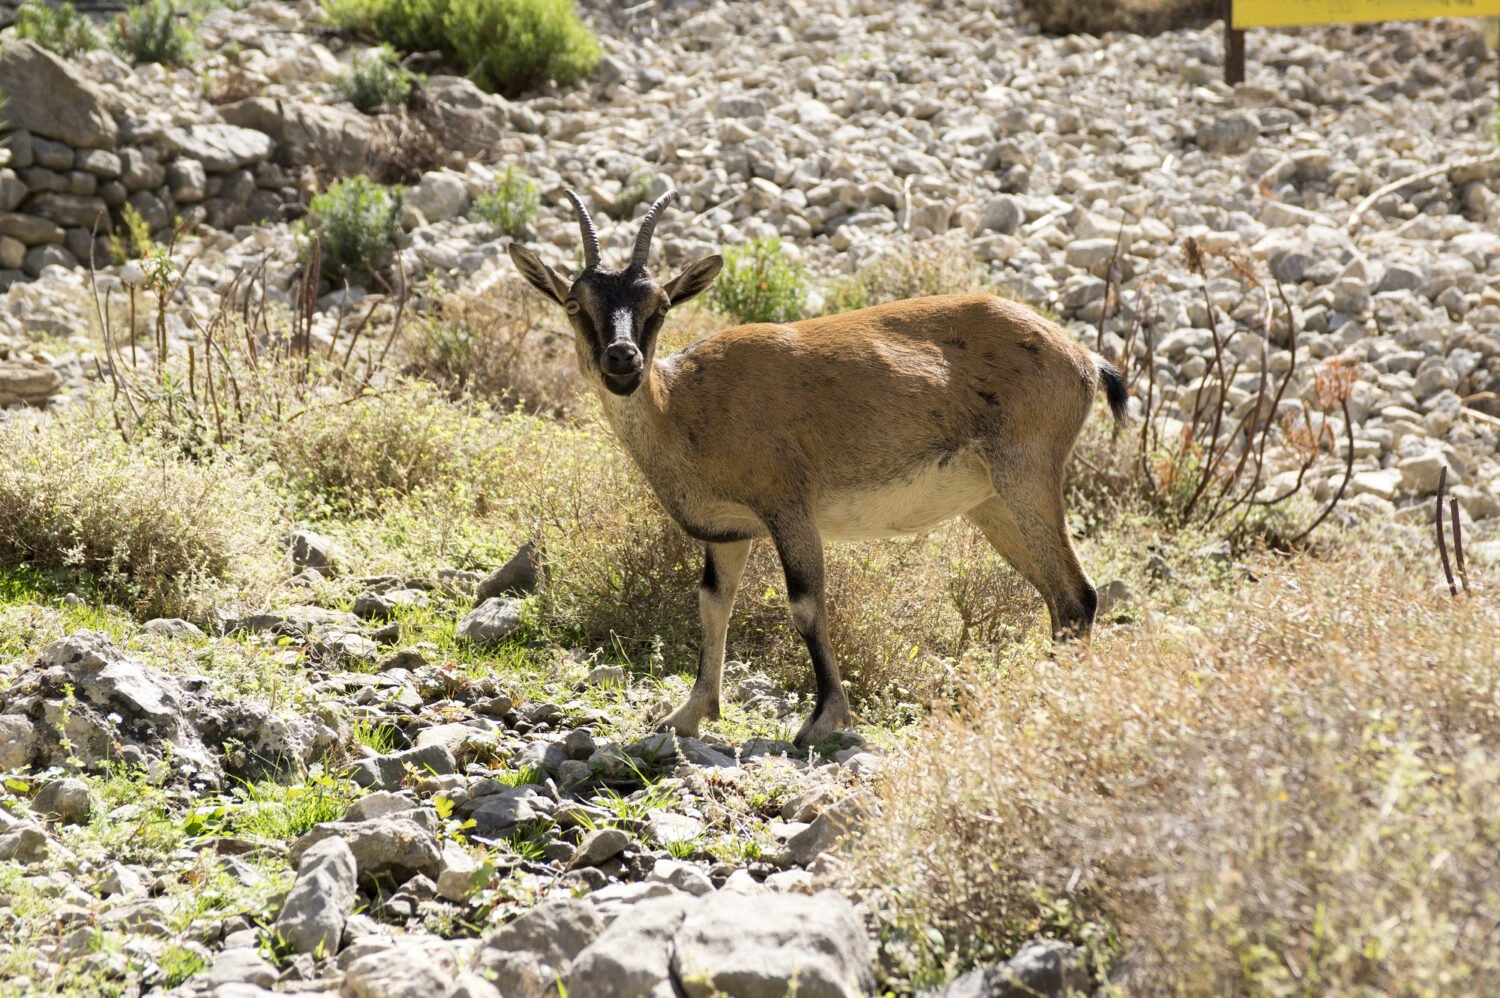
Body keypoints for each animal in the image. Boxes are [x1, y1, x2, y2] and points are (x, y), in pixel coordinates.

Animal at [510, 190, 1122, 744]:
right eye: (574, 304)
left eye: (659, 307)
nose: (623, 359)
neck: (687, 404)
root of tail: (1084, 360)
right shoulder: (728, 530)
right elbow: (712, 603)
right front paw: (687, 714)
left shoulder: (789, 509)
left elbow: (805, 605)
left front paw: (824, 720)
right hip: (993, 503)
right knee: (1059, 600)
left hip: (1027, 474)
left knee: (1078, 594)